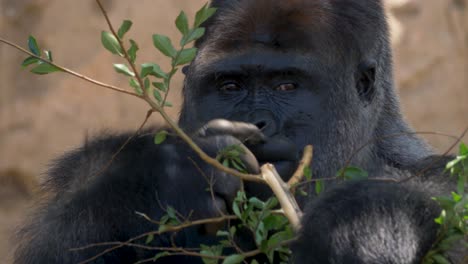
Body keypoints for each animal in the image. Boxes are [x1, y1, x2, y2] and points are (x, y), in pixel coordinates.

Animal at [12, 0, 458, 264]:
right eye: (230, 86)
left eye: (287, 85)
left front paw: (366, 222)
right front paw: (162, 178)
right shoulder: (81, 168)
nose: (258, 122)